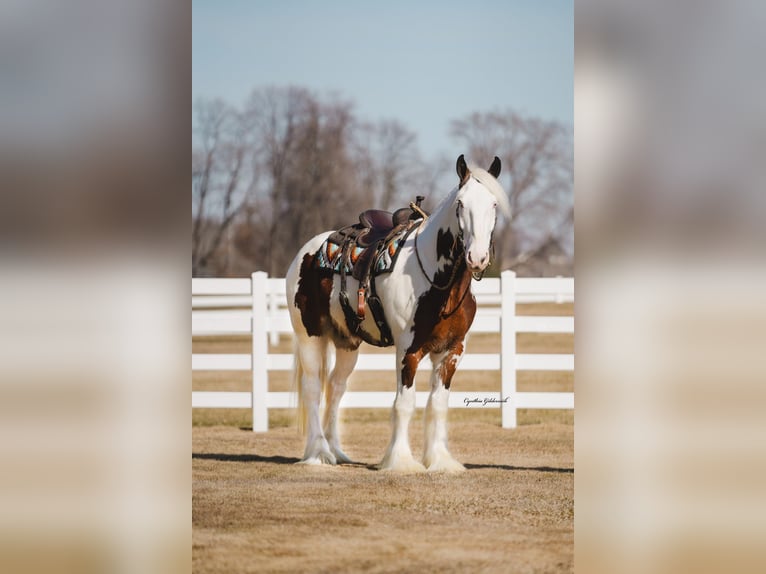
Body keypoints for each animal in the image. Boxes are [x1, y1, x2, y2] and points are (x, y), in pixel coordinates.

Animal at [286, 154, 510, 472]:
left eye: (493, 203)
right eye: (460, 204)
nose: (477, 258)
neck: (439, 283)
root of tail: (307, 251)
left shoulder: (453, 350)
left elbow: (438, 404)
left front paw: (440, 460)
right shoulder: (408, 349)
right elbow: (405, 403)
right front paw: (401, 461)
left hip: (347, 342)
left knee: (336, 387)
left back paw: (337, 450)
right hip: (309, 336)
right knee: (313, 388)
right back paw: (319, 453)